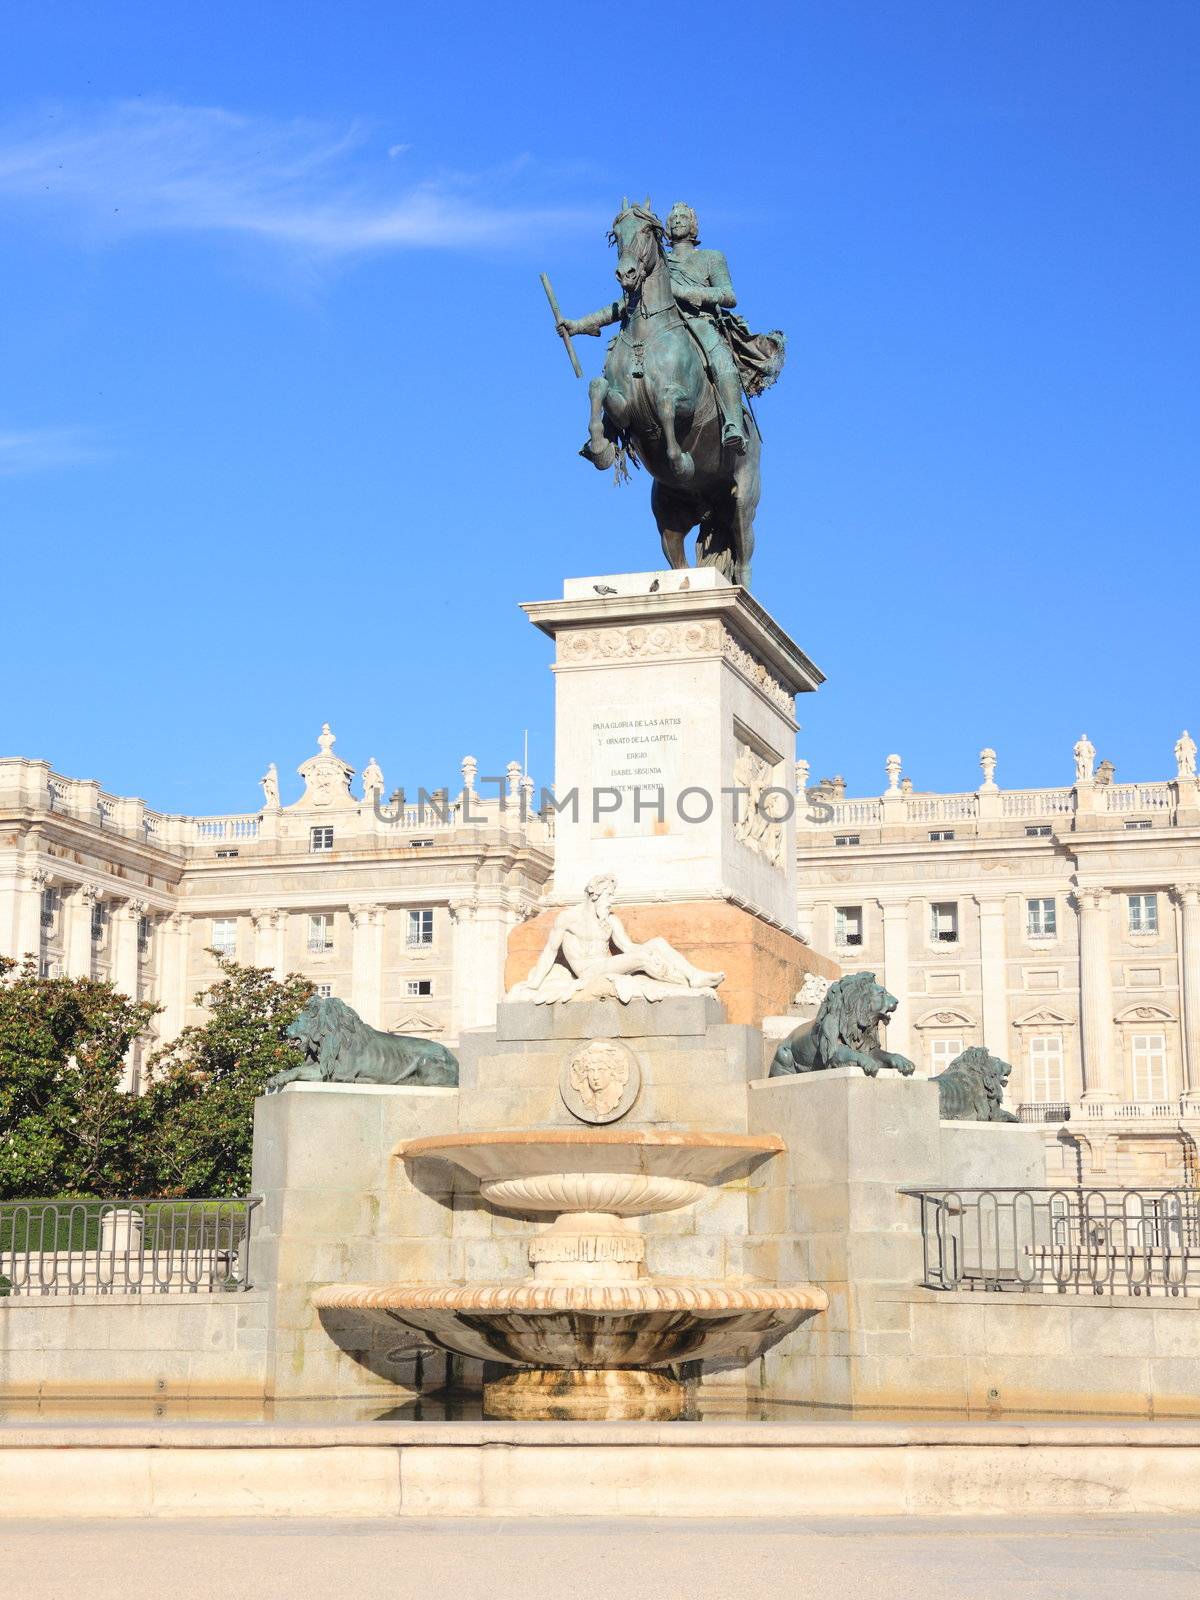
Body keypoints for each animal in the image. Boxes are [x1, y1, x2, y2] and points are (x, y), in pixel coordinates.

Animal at [579, 203, 761, 592]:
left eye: (648, 232)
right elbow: (597, 389)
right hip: (669, 518)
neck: (647, 334)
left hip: (742, 503)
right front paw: (600, 449)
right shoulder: (624, 408)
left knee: (744, 559)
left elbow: (664, 406)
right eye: (617, 235)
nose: (627, 273)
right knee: (678, 562)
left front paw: (681, 462)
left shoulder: (686, 402)